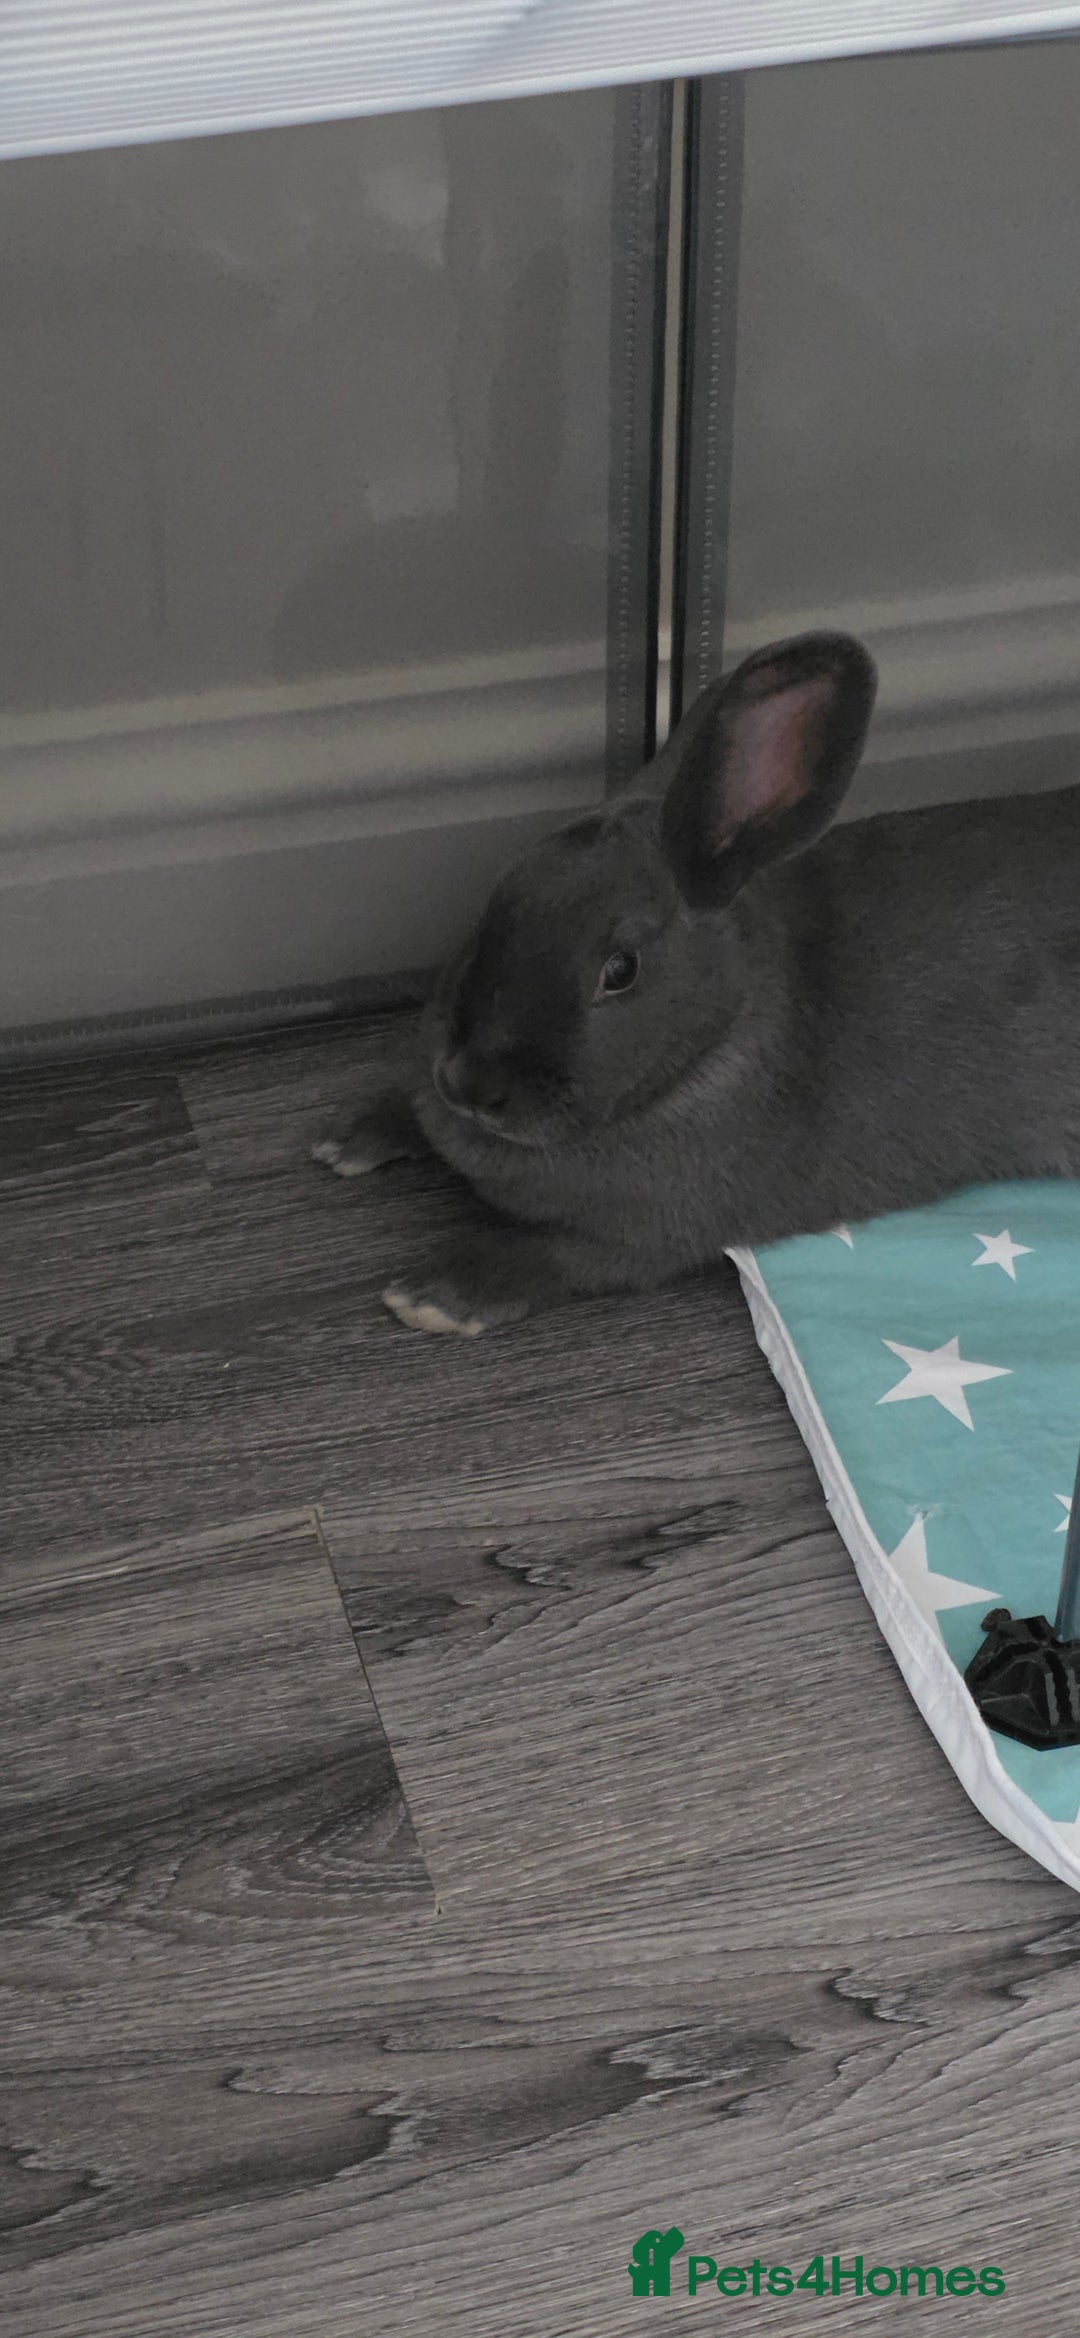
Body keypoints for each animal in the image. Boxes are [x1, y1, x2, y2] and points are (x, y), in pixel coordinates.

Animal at [313, 630, 1080, 1335]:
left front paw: (434, 1295)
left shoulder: (646, 1236)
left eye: (620, 970)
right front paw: (349, 1138)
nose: (468, 1086)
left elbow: (557, 1256)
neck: (714, 1039)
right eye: (492, 908)